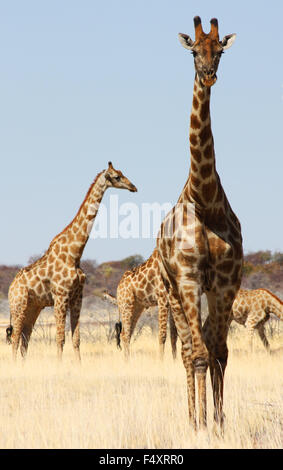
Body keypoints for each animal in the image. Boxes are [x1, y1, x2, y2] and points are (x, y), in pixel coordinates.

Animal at [6, 163, 138, 362]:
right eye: (116, 177)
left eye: (122, 173)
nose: (133, 187)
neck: (74, 254)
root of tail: (10, 288)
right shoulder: (60, 296)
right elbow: (60, 338)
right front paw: (59, 366)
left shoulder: (77, 297)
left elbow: (76, 339)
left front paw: (78, 365)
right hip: (18, 306)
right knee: (15, 338)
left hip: (33, 308)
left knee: (24, 339)